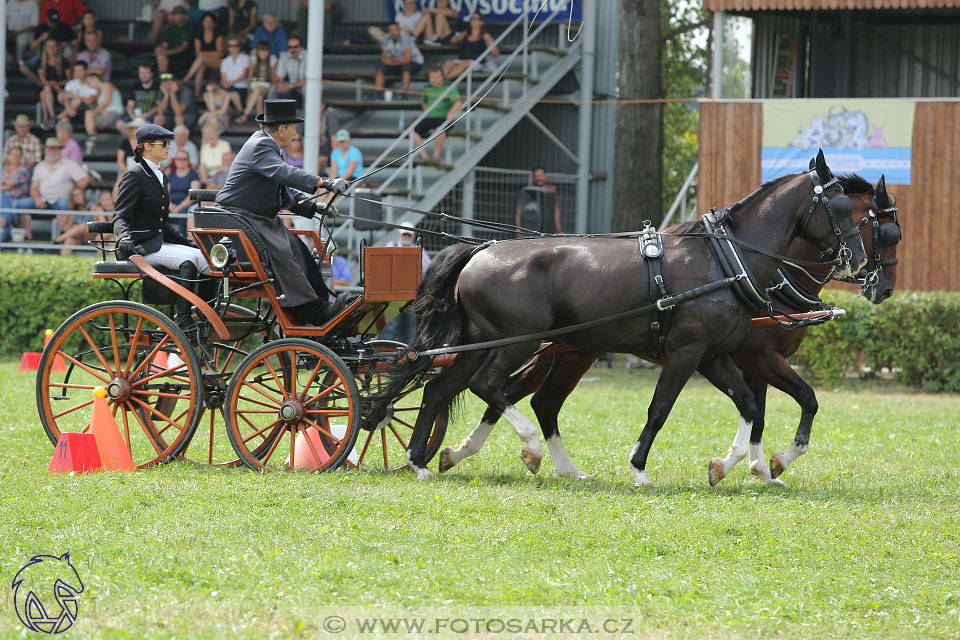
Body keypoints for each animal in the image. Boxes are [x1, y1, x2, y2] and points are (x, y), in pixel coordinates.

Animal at [376, 152, 872, 488]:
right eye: (843, 210)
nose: (862, 263)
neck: (724, 261)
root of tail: (480, 249)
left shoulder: (714, 355)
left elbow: (749, 405)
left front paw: (731, 466)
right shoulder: (687, 352)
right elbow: (660, 409)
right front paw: (639, 469)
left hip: (483, 342)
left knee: (444, 389)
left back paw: (423, 460)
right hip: (520, 342)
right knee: (491, 388)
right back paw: (528, 447)